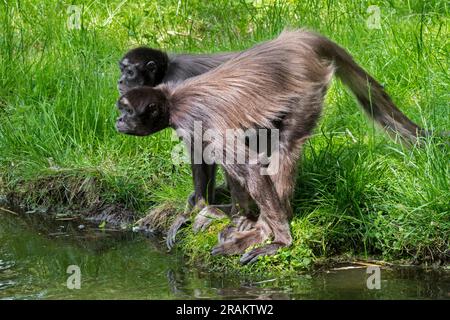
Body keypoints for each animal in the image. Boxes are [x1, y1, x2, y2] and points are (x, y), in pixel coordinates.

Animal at [116, 29, 426, 264]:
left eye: (127, 110)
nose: (118, 120)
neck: (171, 98)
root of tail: (294, 40)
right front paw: (222, 212)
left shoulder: (192, 115)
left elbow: (231, 161)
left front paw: (203, 209)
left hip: (305, 92)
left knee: (284, 146)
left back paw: (266, 229)